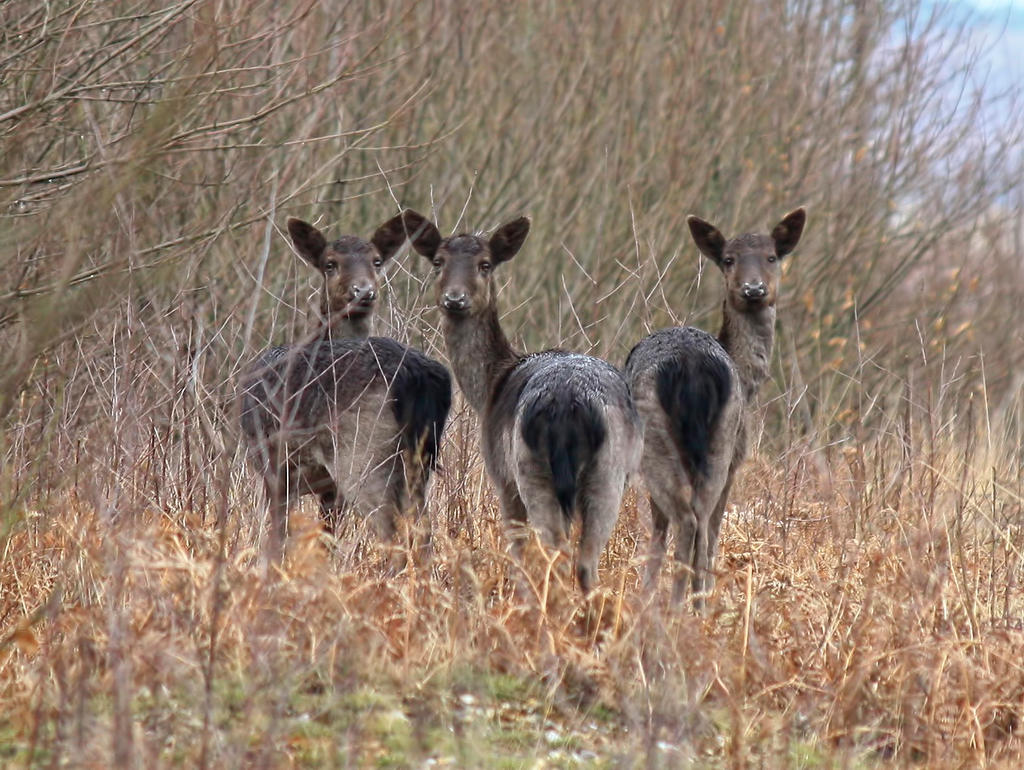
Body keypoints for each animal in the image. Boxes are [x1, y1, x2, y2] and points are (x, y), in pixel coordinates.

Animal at [239, 214, 452, 561]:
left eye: (377, 261)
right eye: (330, 263)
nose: (362, 291)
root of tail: (416, 376)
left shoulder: (272, 465)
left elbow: (276, 540)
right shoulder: (327, 488)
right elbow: (324, 540)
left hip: (361, 454)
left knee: (392, 532)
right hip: (419, 461)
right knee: (423, 532)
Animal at [405, 207, 638, 593]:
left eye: (485, 264)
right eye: (438, 261)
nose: (455, 298)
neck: (491, 384)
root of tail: (572, 407)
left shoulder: (502, 479)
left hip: (531, 470)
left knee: (554, 554)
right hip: (610, 472)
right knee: (586, 561)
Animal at [622, 207, 806, 610]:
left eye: (772, 257)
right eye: (728, 259)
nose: (754, 289)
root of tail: (692, 369)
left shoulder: (736, 459)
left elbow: (666, 528)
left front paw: (648, 594)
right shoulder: (735, 456)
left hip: (663, 443)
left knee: (691, 520)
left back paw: (679, 603)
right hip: (717, 441)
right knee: (700, 519)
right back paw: (694, 602)